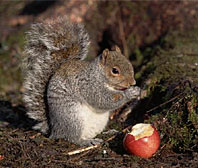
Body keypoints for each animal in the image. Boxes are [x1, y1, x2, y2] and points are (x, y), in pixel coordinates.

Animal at [22, 17, 141, 146]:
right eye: (115, 70)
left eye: (129, 63)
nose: (132, 82)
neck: (99, 75)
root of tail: (54, 130)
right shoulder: (88, 86)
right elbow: (104, 100)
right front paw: (130, 93)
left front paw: (137, 90)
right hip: (73, 118)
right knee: (72, 138)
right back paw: (86, 142)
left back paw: (106, 133)